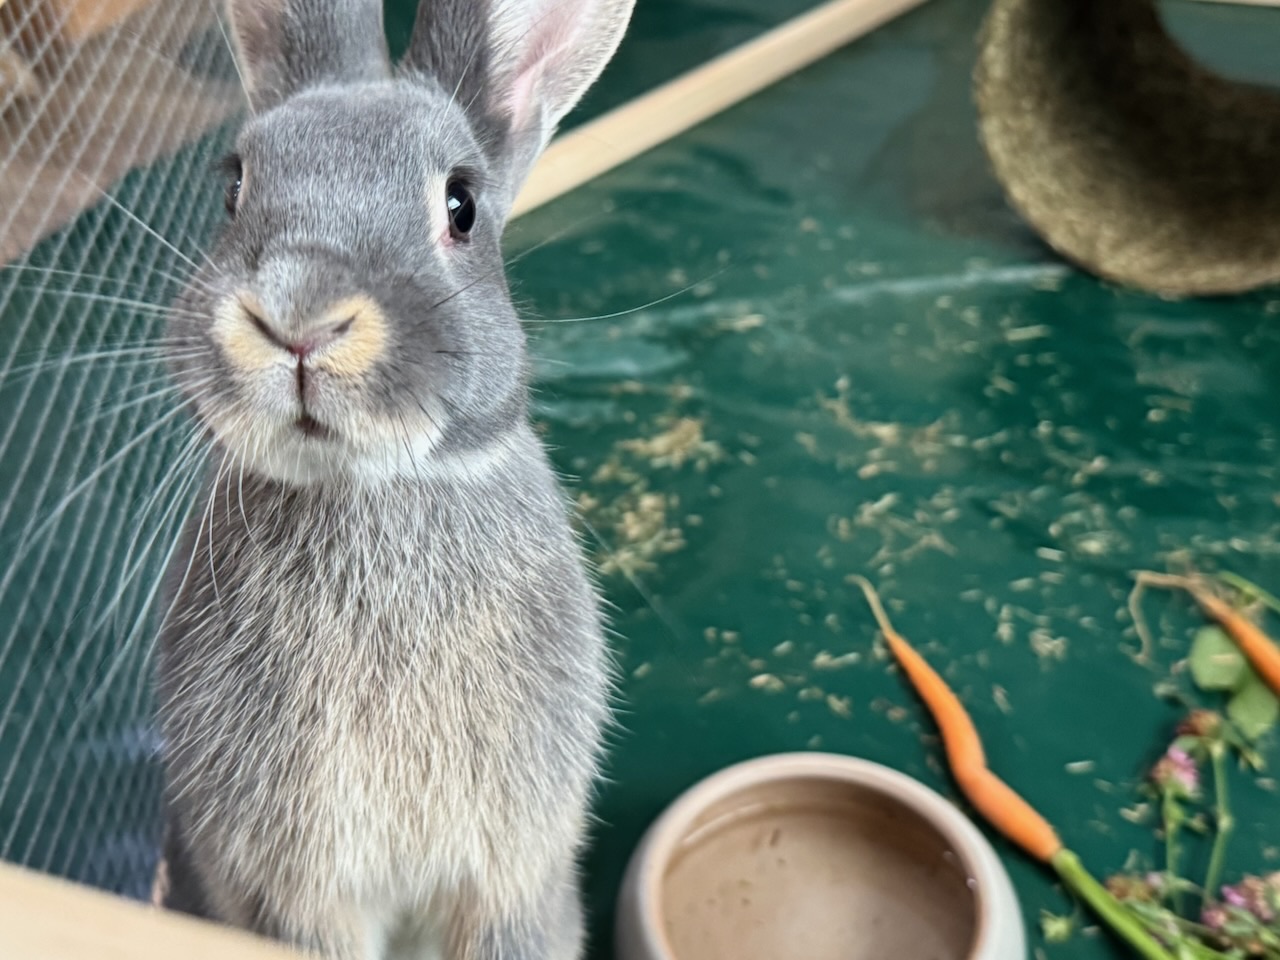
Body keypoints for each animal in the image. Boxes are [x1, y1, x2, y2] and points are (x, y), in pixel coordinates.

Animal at [152, 1, 634, 957]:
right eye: (233, 186)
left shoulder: (509, 880)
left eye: (462, 205)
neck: (367, 487)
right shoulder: (291, 890)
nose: (297, 314)